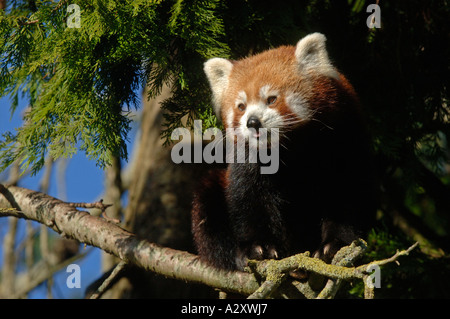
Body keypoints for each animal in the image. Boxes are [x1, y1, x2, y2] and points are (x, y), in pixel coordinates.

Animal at [192, 32, 378, 272]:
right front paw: (259, 247)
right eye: (241, 106)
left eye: (271, 99)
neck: (291, 148)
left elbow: (347, 191)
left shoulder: (343, 137)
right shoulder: (248, 160)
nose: (253, 122)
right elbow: (249, 198)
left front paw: (335, 243)